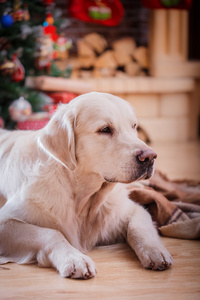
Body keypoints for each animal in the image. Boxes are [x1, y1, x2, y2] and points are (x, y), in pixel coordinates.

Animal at [0, 92, 172, 278]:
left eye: (134, 126)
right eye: (105, 129)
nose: (150, 157)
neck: (83, 200)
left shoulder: (131, 210)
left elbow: (138, 227)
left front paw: (156, 251)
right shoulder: (6, 220)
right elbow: (51, 233)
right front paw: (74, 259)